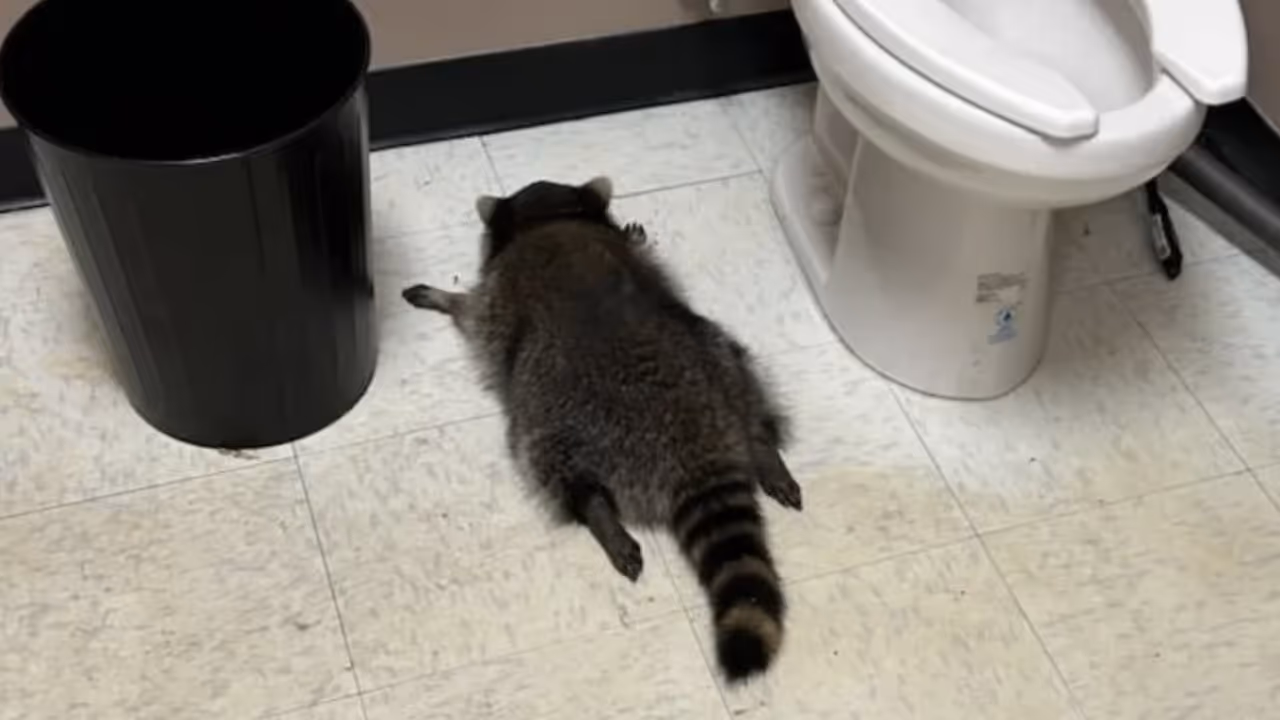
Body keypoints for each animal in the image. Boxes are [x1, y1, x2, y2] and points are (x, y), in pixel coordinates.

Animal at [402, 177, 802, 681]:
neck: (551, 218)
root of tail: (696, 441)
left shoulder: (497, 296)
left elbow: (472, 311)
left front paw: (445, 298)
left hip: (556, 416)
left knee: (549, 461)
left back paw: (597, 511)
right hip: (719, 357)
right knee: (744, 380)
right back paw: (763, 447)